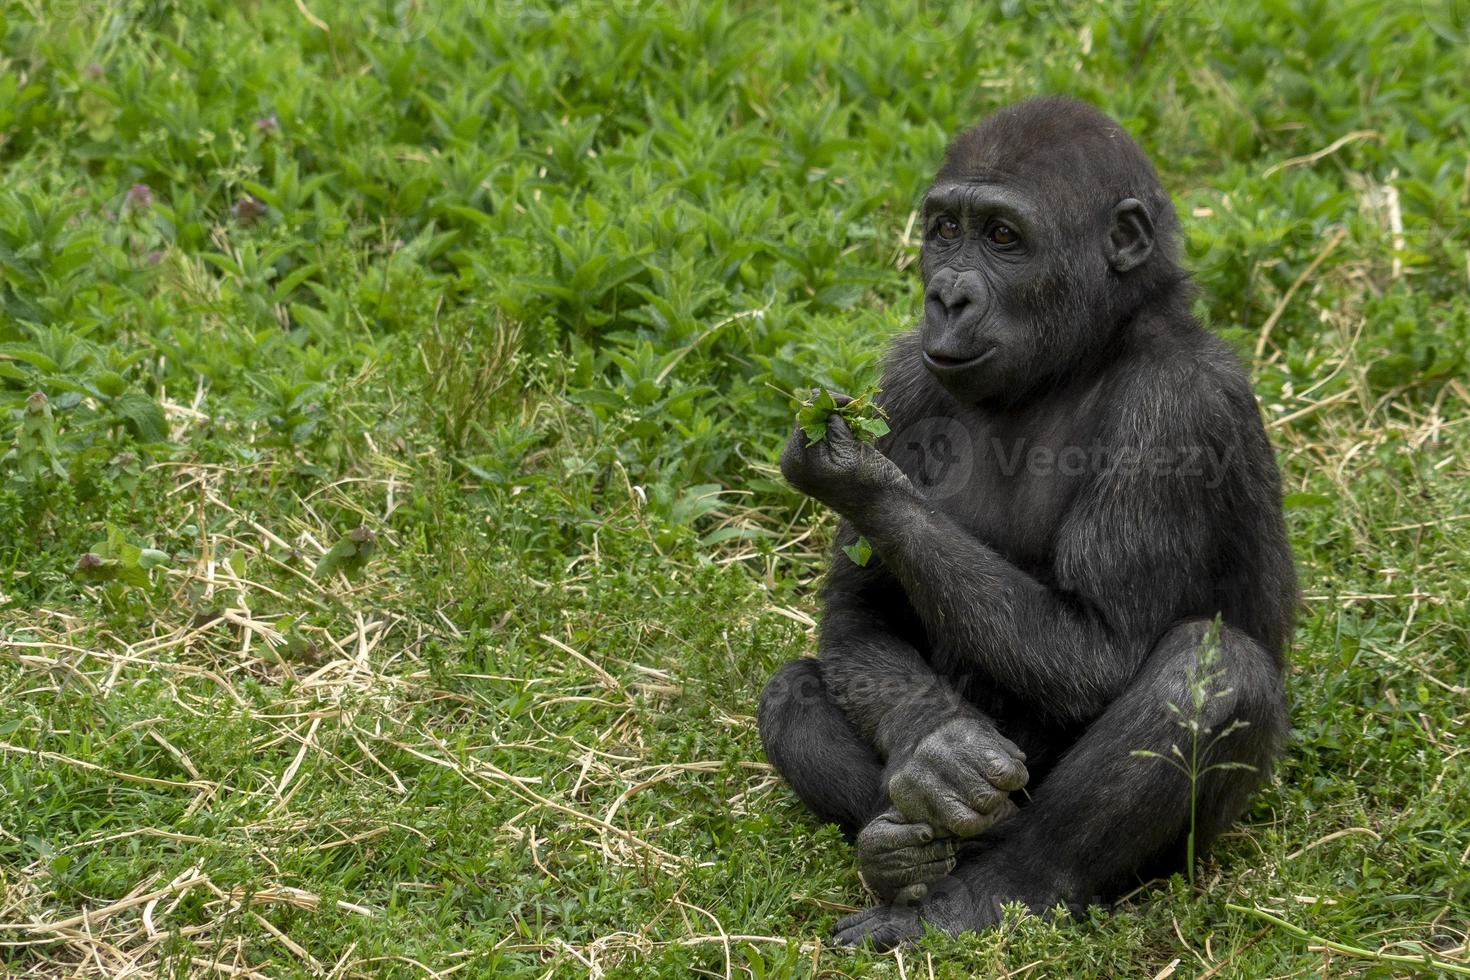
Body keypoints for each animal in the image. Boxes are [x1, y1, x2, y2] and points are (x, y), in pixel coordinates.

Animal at [758, 99, 1299, 952]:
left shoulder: (1174, 409)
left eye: (1005, 237)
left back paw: (995, 889)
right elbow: (860, 613)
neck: (1082, 354)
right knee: (794, 693)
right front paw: (936, 750)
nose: (947, 298)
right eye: (946, 229)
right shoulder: (902, 378)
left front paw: (861, 482)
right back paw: (903, 855)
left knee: (1213, 672)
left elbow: (1106, 649)